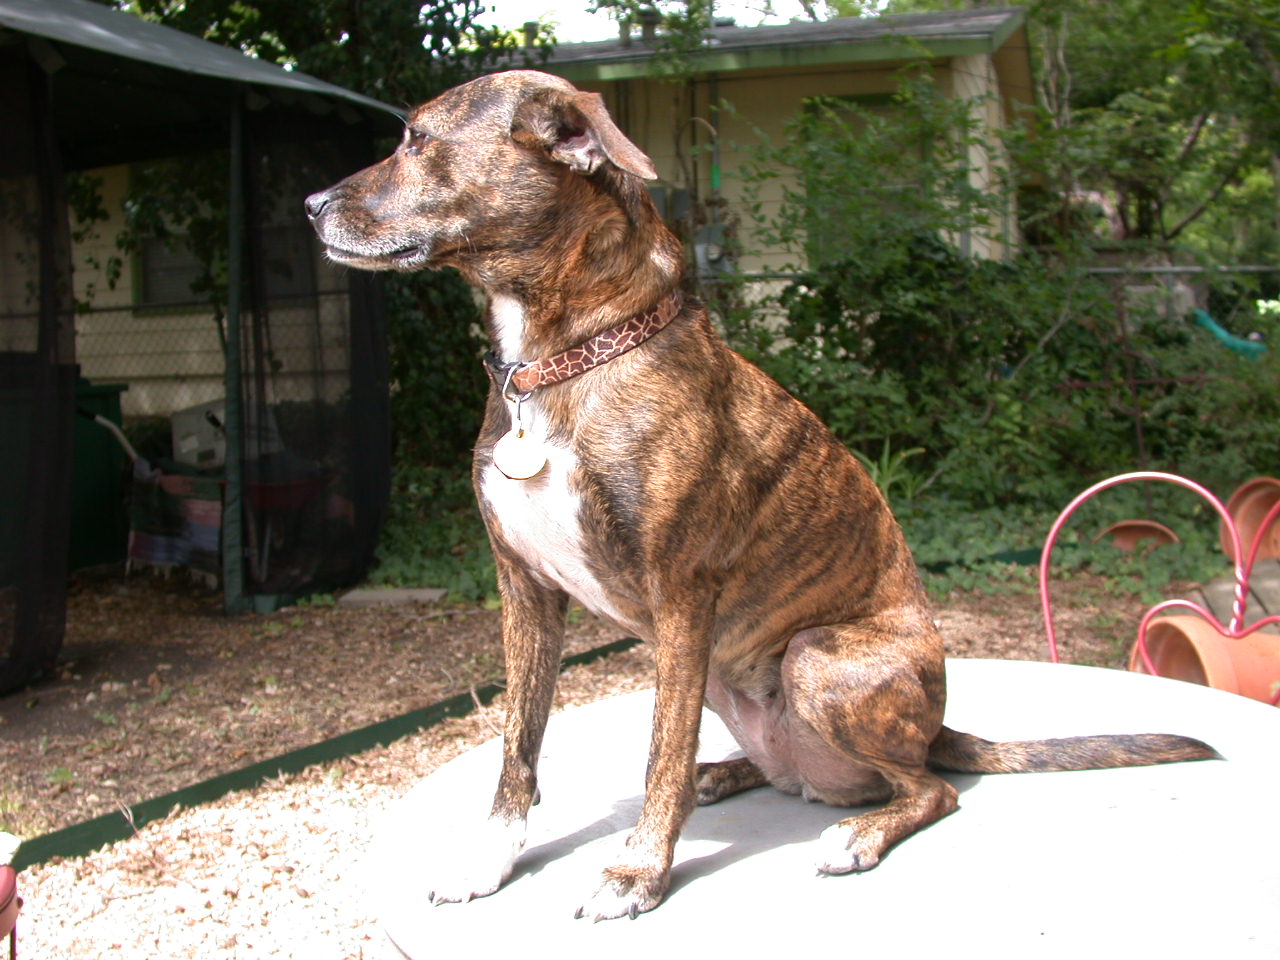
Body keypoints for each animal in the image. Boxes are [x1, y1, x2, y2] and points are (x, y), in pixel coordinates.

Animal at [304, 69, 1213, 926]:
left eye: (417, 139)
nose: (309, 205)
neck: (562, 363)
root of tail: (939, 725)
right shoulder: (527, 593)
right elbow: (518, 750)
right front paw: (489, 862)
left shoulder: (680, 598)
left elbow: (659, 753)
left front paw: (638, 874)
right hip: (719, 671)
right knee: (793, 772)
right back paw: (727, 776)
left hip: (811, 656)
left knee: (928, 788)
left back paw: (855, 834)